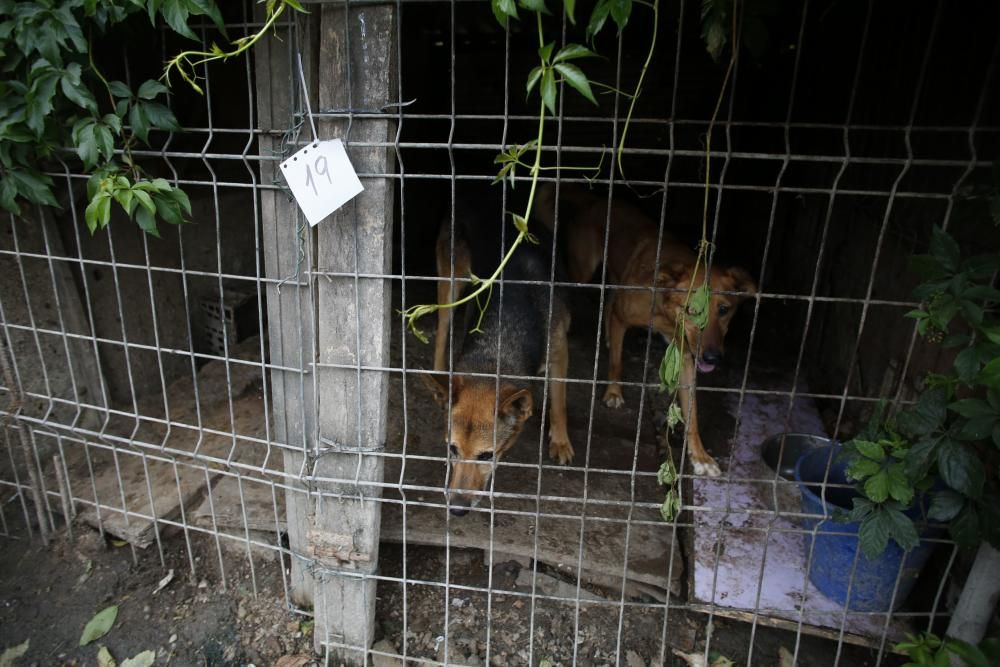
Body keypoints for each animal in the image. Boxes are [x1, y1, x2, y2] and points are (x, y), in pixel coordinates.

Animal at [426, 188, 576, 516]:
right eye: (451, 449)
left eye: (487, 455)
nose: (457, 509)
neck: (502, 338)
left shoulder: (560, 349)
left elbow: (559, 401)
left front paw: (560, 441)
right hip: (452, 279)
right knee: (442, 330)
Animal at [536, 181, 752, 474]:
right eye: (691, 310)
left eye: (724, 310)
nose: (712, 358)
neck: (665, 309)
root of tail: (597, 200)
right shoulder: (624, 319)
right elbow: (616, 362)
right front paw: (613, 393)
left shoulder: (686, 354)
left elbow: (692, 412)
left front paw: (700, 455)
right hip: (583, 270)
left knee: (610, 301)